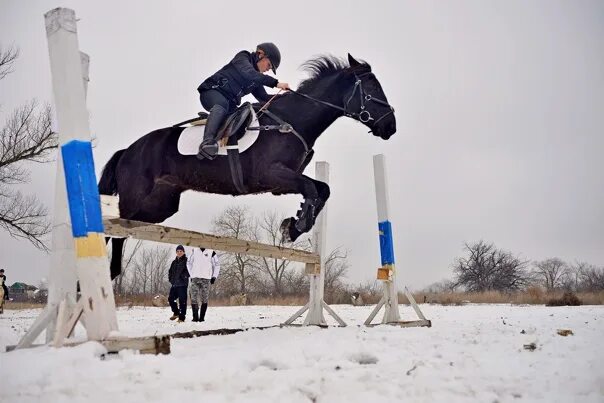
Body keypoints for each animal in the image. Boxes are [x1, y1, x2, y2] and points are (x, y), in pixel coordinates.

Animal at [99, 53, 396, 280]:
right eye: (372, 89)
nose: (391, 126)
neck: (292, 120)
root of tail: (128, 151)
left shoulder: (283, 181)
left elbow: (321, 189)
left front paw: (294, 225)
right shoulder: (272, 174)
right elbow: (313, 188)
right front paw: (295, 226)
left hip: (160, 206)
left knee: (123, 231)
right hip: (136, 198)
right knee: (112, 228)